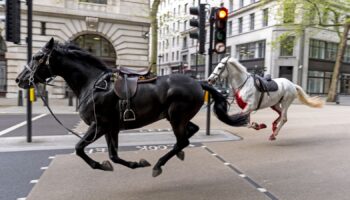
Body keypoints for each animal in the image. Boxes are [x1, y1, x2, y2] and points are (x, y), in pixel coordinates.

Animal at [15, 38, 247, 177]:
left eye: (37, 57)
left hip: (176, 117)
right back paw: (176, 154)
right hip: (177, 117)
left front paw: (102, 165)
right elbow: (113, 156)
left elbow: (79, 148)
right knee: (190, 133)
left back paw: (159, 164)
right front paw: (133, 163)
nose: (19, 79)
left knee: (183, 140)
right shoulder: (111, 128)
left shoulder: (99, 125)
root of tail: (198, 82)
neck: (92, 84)